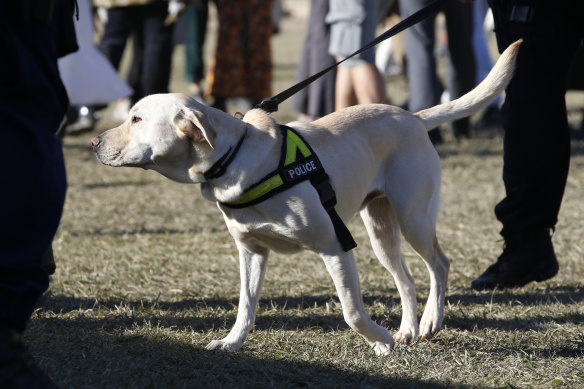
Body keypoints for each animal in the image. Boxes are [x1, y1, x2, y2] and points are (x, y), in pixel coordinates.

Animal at [93, 40, 524, 354]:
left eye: (136, 119)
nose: (95, 142)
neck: (235, 159)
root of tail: (413, 117)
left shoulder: (335, 245)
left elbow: (351, 312)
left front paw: (380, 342)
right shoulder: (251, 251)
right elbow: (245, 305)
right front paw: (231, 343)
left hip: (413, 218)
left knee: (439, 264)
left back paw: (429, 322)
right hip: (381, 229)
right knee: (406, 279)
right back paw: (407, 330)